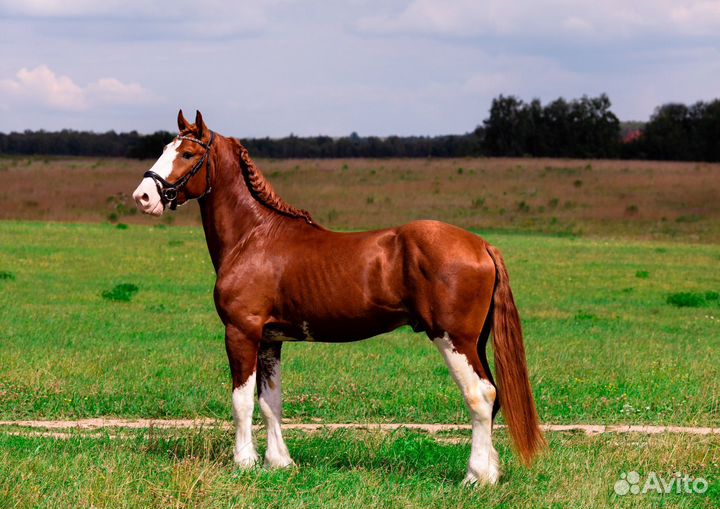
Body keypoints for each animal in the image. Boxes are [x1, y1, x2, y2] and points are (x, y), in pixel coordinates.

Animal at [132, 110, 545, 485]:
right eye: (164, 148)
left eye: (187, 154)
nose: (143, 196)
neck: (254, 237)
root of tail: (482, 245)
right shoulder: (270, 339)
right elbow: (271, 402)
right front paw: (279, 463)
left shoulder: (241, 332)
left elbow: (242, 401)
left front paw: (244, 462)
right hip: (475, 342)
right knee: (492, 395)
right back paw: (490, 472)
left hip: (453, 339)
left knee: (480, 396)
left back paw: (476, 477)